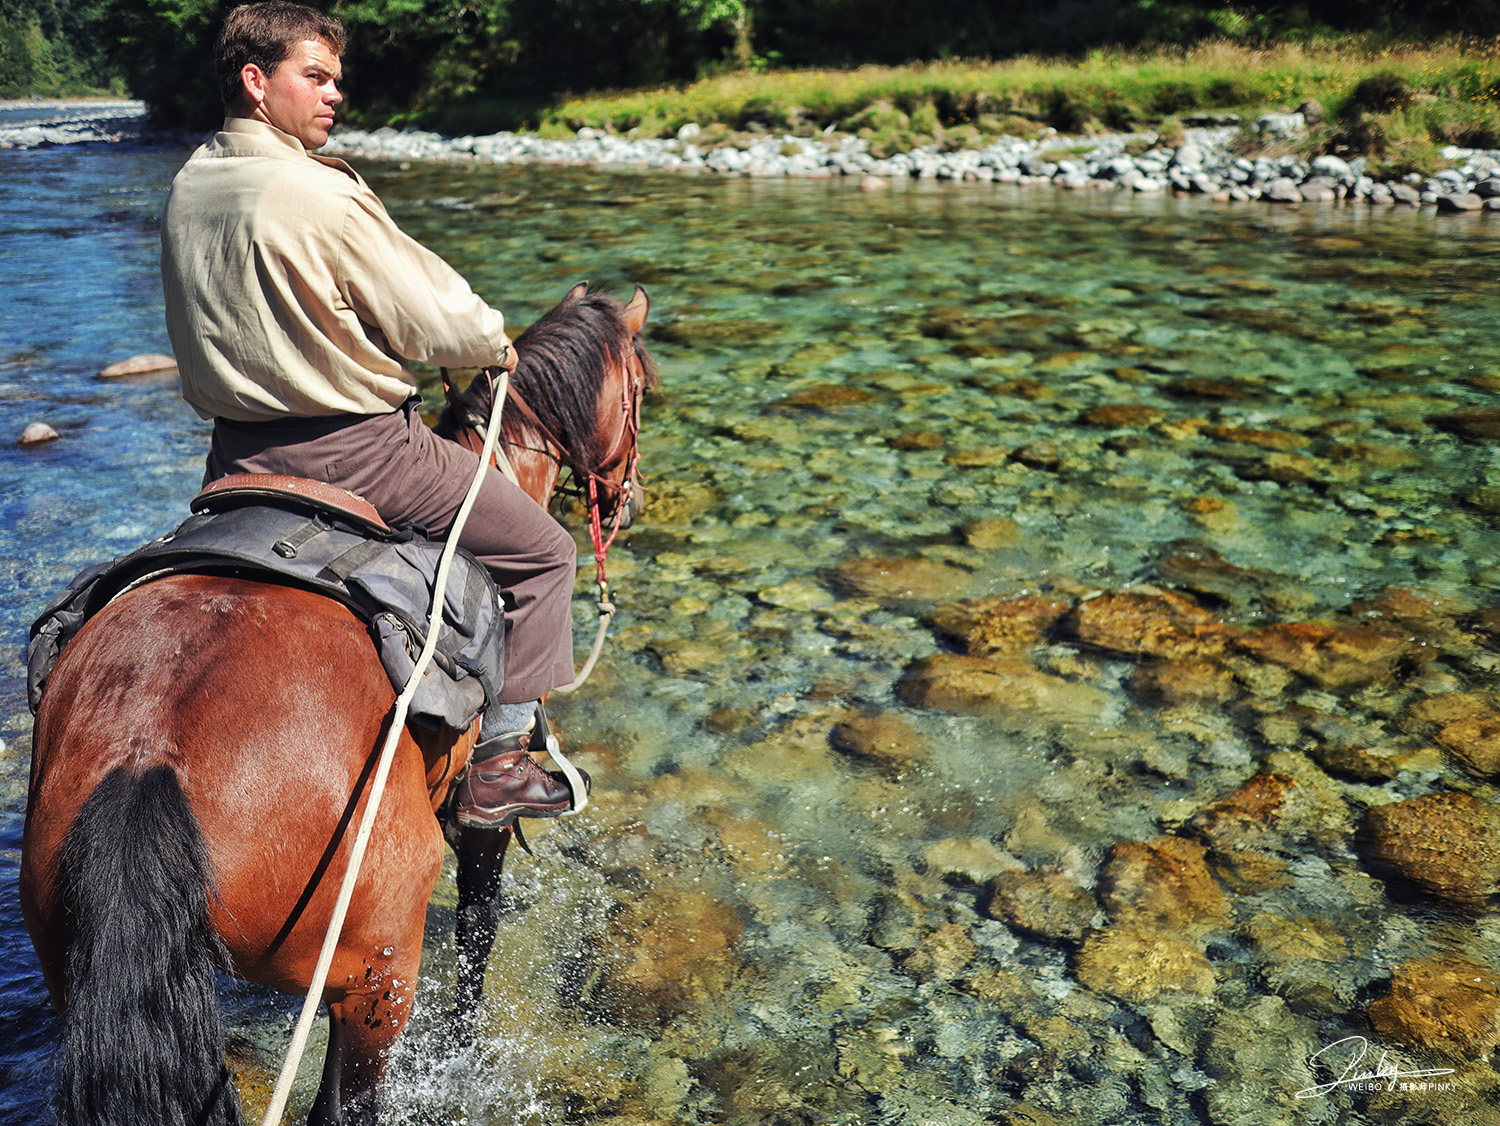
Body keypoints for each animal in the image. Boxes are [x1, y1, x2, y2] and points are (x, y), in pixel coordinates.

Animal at [17, 283, 651, 1126]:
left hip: (79, 969)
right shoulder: (475, 820)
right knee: (347, 1103)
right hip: (376, 973)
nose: (632, 497)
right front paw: (465, 1049)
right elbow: (478, 929)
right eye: (639, 389)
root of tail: (145, 756)